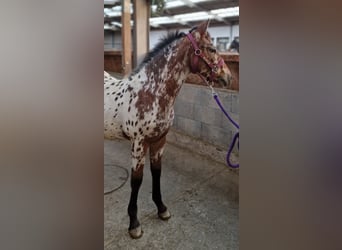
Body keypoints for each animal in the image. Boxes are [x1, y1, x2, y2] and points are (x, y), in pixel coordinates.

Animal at [103, 19, 232, 238]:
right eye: (212, 48)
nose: (228, 77)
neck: (151, 93)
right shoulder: (138, 143)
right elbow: (136, 180)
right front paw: (134, 224)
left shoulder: (160, 140)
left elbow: (157, 173)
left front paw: (162, 209)